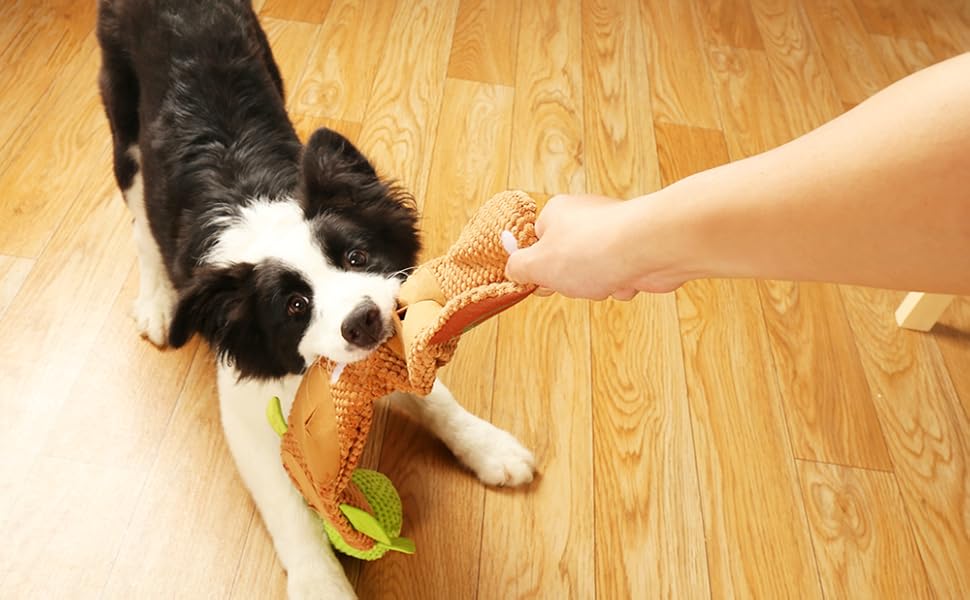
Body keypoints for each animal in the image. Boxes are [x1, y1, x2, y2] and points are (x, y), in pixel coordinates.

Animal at [96, 2, 536, 596]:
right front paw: (321, 582)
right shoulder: (246, 405)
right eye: (294, 307)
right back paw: (158, 301)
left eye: (356, 256)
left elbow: (434, 396)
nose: (364, 321)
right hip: (124, 121)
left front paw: (491, 447)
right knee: (141, 221)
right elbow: (285, 501)